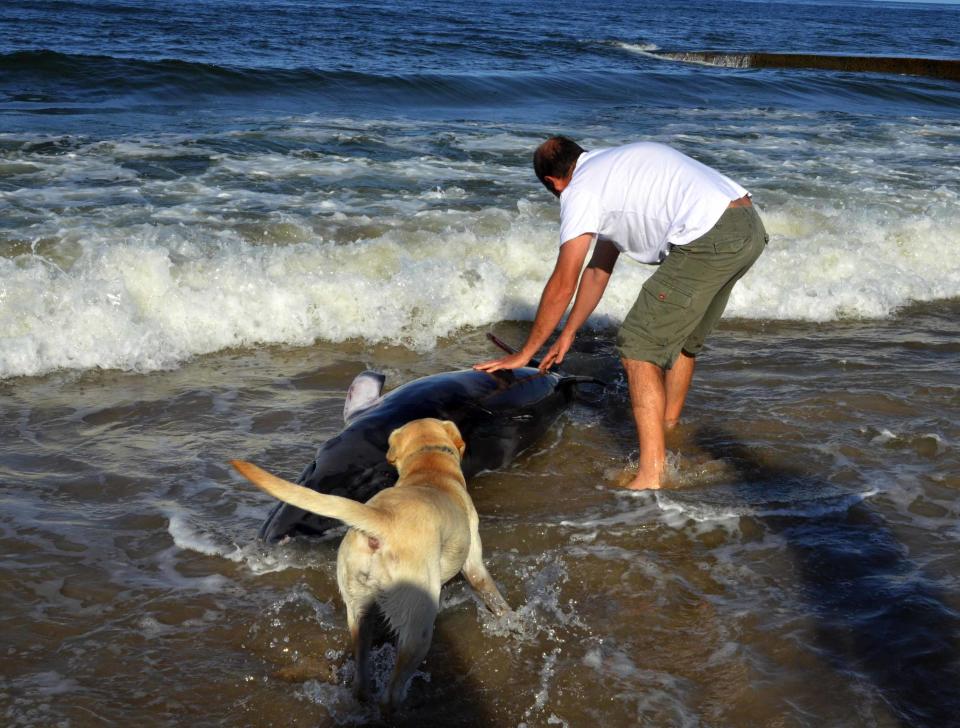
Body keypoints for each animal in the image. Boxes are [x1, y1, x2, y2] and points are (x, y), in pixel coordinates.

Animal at [232, 418, 510, 708]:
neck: (428, 465)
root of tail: (382, 519)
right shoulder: (474, 563)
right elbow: (492, 593)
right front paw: (509, 619)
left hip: (358, 612)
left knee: (361, 679)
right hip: (418, 626)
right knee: (391, 693)